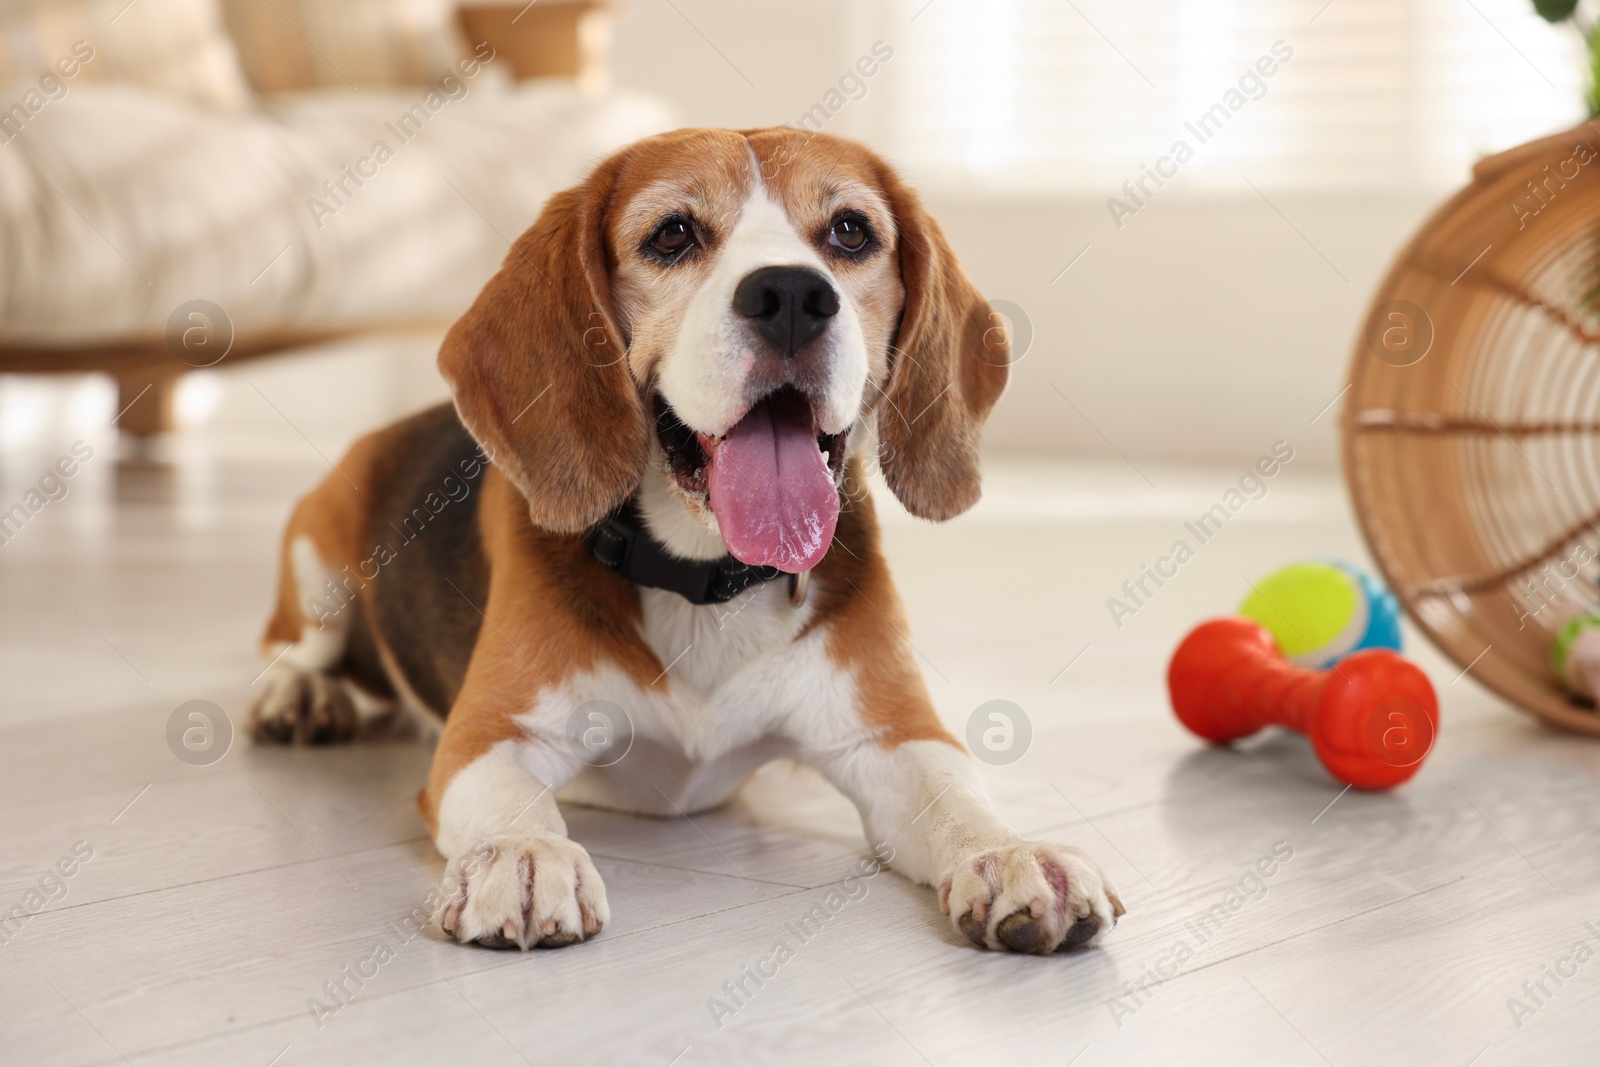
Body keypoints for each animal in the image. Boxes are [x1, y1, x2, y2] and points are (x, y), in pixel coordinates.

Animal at [249, 127, 1126, 959]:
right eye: (672, 234)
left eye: (850, 231)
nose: (793, 295)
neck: (705, 577)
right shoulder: (491, 734)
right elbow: (512, 800)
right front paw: (526, 855)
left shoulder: (894, 735)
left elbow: (957, 796)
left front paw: (1013, 854)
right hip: (322, 558)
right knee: (291, 644)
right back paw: (299, 697)